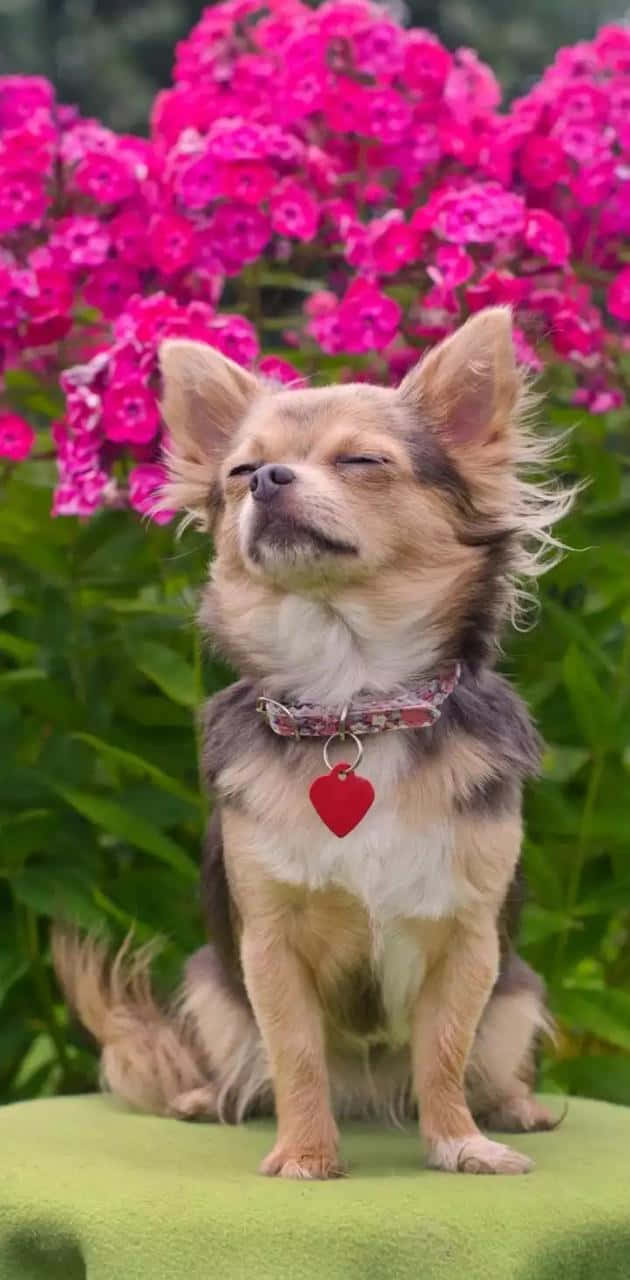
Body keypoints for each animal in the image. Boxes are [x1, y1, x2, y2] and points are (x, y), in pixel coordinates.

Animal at [56, 304, 573, 1172]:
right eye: (240, 471)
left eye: (362, 460)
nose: (268, 479)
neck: (354, 704)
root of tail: (371, 1094)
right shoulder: (268, 945)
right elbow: (294, 1053)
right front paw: (304, 1156)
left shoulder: (468, 943)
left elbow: (444, 1053)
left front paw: (459, 1144)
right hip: (211, 984)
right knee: (247, 1070)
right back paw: (208, 1098)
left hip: (518, 993)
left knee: (483, 1063)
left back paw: (512, 1108)